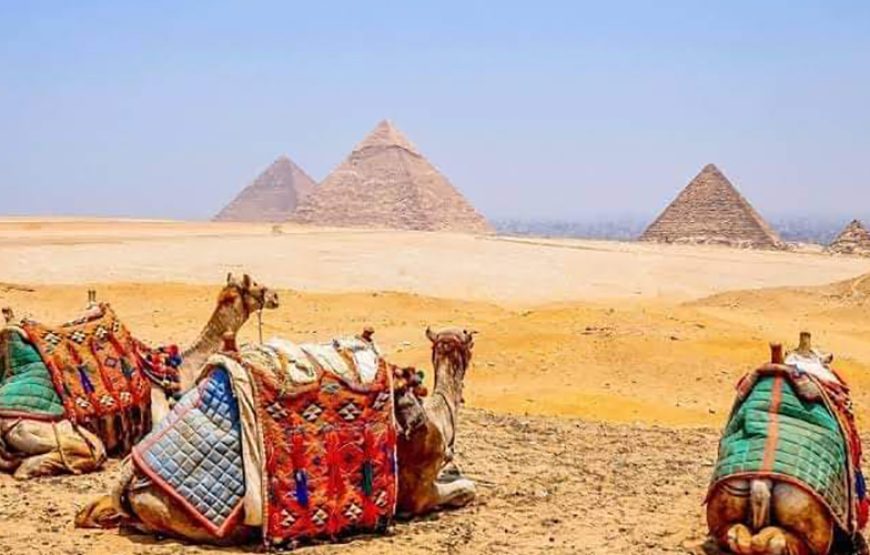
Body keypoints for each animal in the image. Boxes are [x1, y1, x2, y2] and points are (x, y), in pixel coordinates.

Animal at [0, 274, 280, 482]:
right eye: (257, 284)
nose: (276, 296)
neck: (179, 369)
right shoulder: (157, 404)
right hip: (42, 428)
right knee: (86, 452)